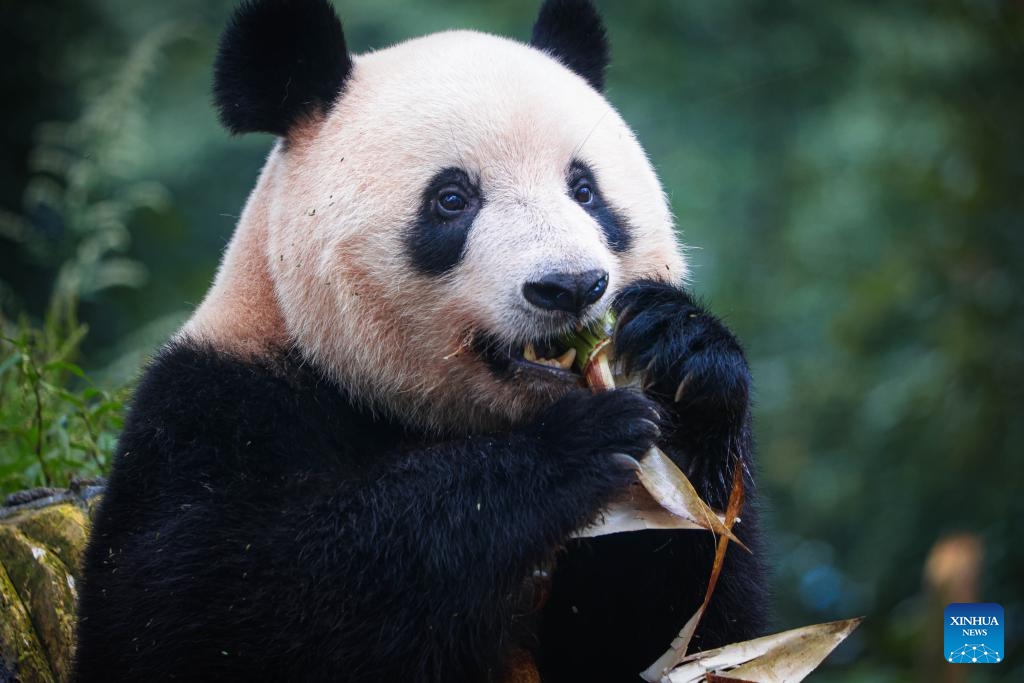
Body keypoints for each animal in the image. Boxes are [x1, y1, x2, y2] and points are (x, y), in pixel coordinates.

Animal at [75, 0, 770, 679]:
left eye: (584, 189)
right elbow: (209, 601)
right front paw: (572, 446)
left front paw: (684, 357)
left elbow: (681, 633)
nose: (570, 286)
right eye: (452, 198)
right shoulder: (214, 412)